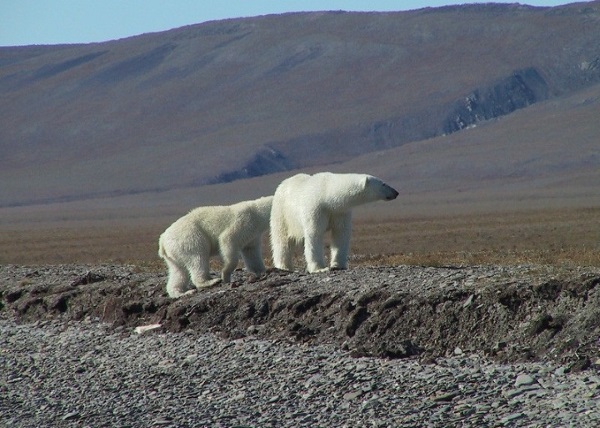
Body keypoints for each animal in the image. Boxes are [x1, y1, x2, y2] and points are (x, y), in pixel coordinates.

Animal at [270, 172, 398, 272]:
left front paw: (338, 265)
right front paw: (320, 268)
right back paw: (284, 267)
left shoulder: (340, 212)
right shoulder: (316, 209)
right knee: (282, 240)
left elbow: (341, 234)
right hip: (282, 213)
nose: (396, 192)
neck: (326, 195)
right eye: (383, 184)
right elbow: (314, 234)